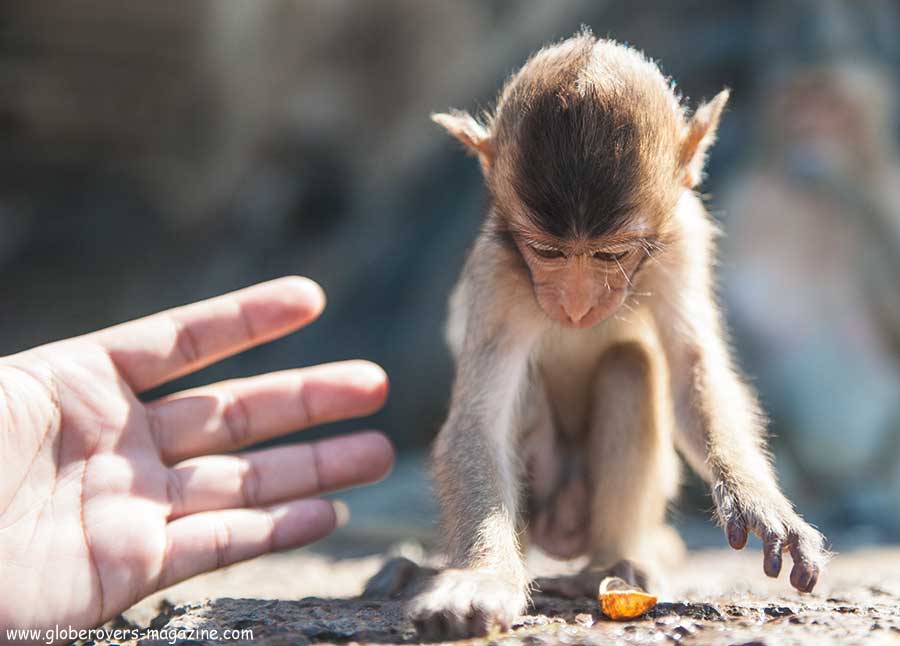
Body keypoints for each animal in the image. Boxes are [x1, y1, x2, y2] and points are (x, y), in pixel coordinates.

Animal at [368, 33, 828, 640]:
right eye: (547, 252)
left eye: (611, 255)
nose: (577, 305)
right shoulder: (498, 272)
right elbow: (478, 421)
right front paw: (482, 579)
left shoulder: (685, 240)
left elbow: (692, 369)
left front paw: (757, 500)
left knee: (632, 365)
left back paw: (608, 569)